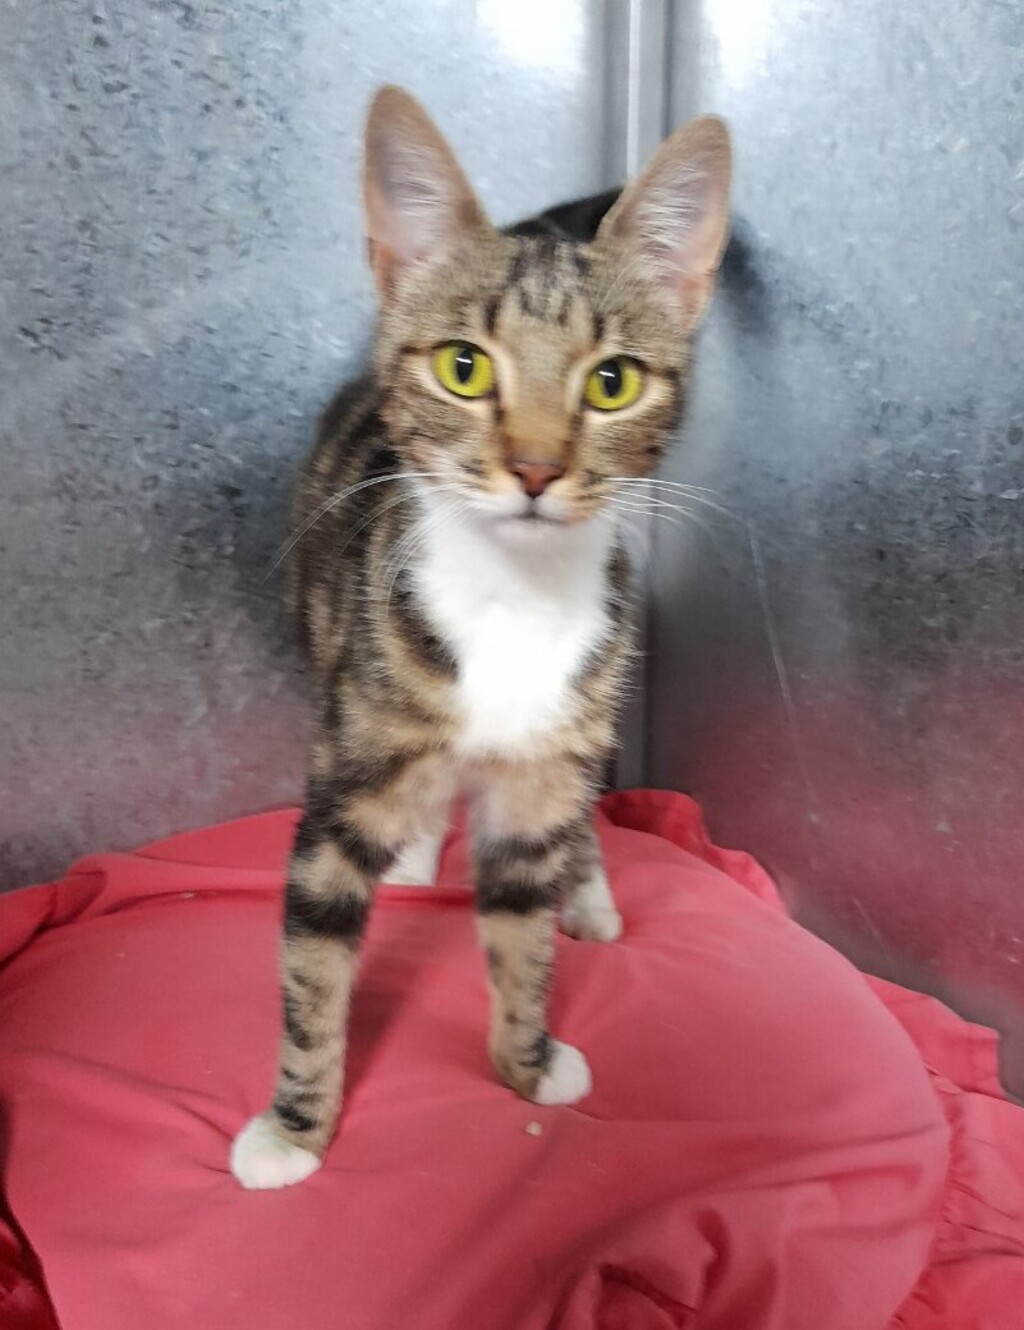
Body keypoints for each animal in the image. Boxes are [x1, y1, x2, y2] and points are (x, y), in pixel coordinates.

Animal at [231, 86, 731, 1189]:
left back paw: (586, 890)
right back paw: (418, 846)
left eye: (613, 382)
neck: (513, 601)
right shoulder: (345, 777)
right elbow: (313, 958)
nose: (538, 468)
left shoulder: (549, 762)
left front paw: (527, 1059)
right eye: (464, 368)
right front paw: (295, 1125)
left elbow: (520, 932)